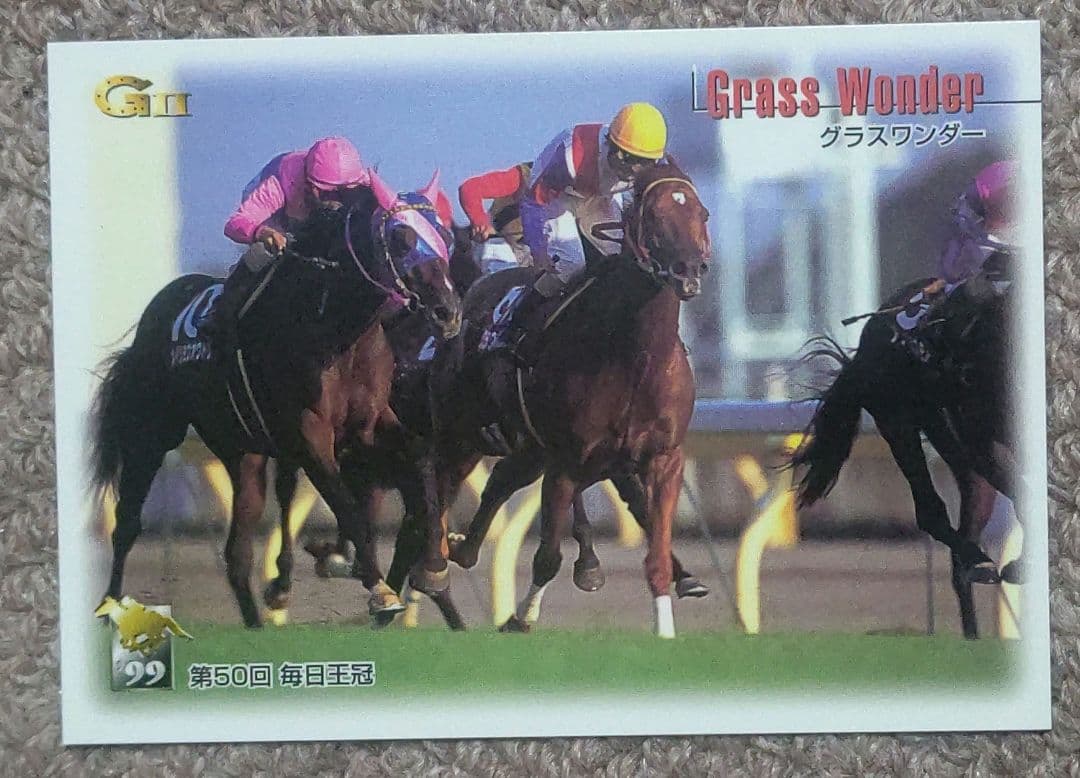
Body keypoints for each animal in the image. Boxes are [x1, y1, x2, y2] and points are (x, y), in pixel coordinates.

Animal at [90, 169, 463, 628]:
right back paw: (111, 607)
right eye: (401, 239)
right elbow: (347, 506)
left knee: (237, 554)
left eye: (445, 236)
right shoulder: (308, 431)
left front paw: (434, 566)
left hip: (241, 452)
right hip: (151, 434)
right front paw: (378, 588)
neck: (334, 325)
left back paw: (256, 621)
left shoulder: (372, 423)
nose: (448, 311)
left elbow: (421, 463)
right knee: (127, 523)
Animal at [410, 160, 711, 638]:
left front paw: (665, 625)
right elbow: (547, 557)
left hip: (524, 444)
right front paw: (520, 617)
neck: (634, 353)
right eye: (655, 215)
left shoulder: (663, 458)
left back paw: (464, 549)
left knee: (501, 479)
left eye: (701, 212)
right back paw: (436, 564)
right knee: (431, 470)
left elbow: (656, 550)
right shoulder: (568, 458)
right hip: (458, 427)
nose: (689, 269)